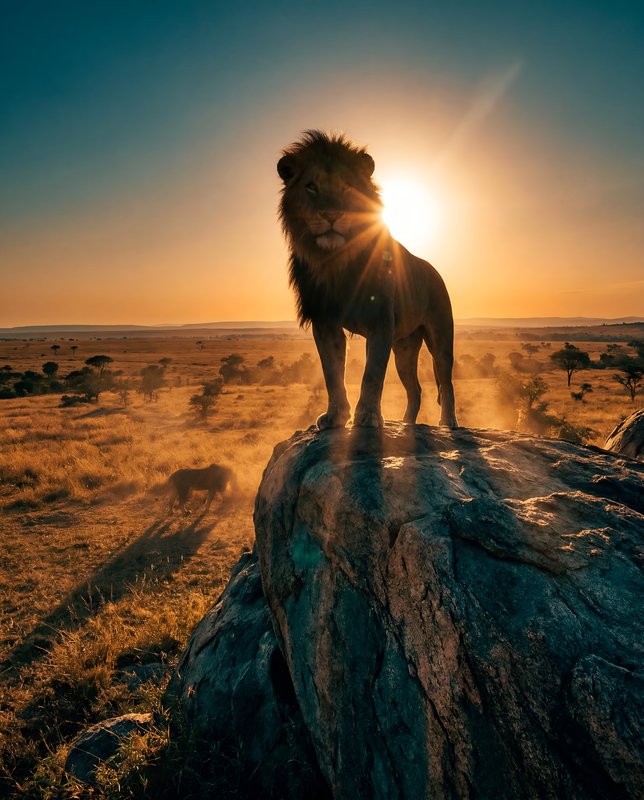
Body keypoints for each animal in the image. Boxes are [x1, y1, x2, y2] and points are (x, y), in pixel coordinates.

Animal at [277, 130, 458, 430]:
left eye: (346, 187)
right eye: (311, 186)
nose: (331, 215)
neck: (337, 259)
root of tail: (433, 270)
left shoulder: (380, 319)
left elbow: (372, 374)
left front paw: (368, 417)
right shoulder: (324, 322)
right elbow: (332, 374)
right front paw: (335, 416)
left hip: (441, 338)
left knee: (446, 383)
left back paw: (449, 423)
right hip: (404, 348)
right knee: (416, 390)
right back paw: (407, 425)